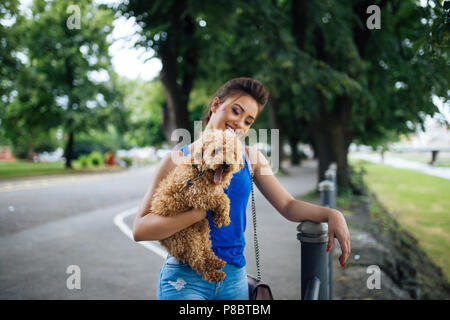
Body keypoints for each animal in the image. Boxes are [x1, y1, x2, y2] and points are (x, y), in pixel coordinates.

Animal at [150, 129, 243, 282]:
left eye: (232, 153)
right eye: (215, 151)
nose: (225, 164)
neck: (200, 171)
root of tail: (163, 242)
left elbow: (221, 199)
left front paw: (218, 219)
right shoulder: (196, 195)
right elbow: (223, 199)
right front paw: (223, 218)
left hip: (201, 227)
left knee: (205, 248)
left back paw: (216, 261)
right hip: (187, 237)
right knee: (197, 261)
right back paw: (214, 274)